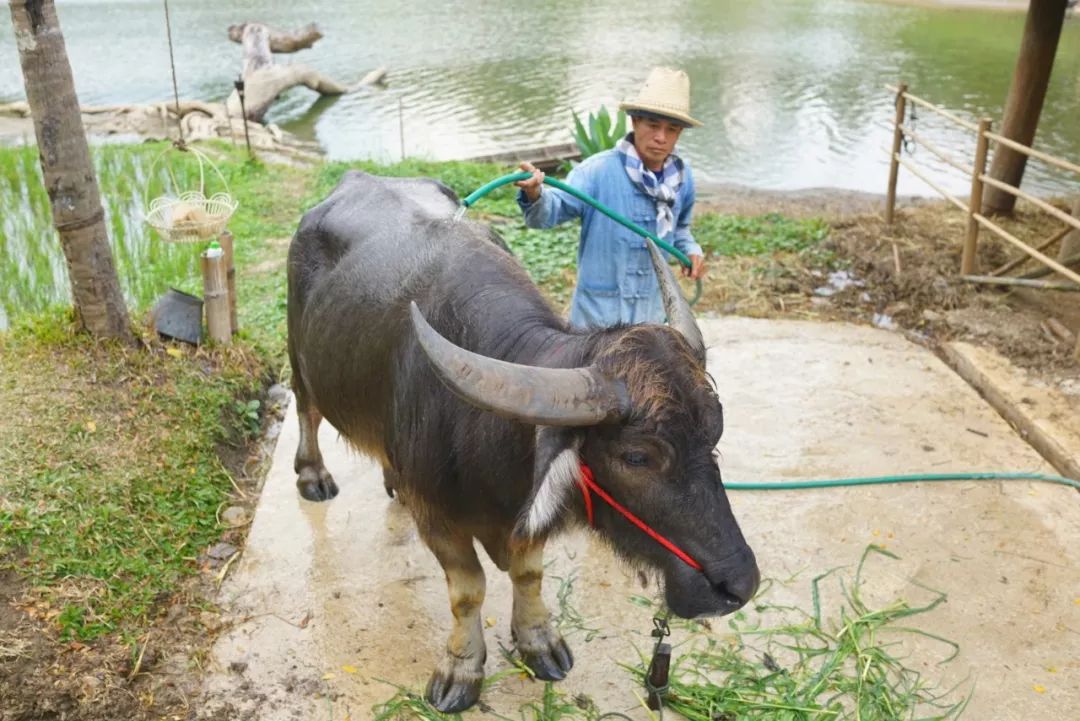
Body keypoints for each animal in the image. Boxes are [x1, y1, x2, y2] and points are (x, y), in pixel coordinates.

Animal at [287, 170, 760, 716]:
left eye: (715, 435)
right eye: (637, 456)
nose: (739, 585)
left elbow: (528, 573)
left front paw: (539, 643)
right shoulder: (438, 516)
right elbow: (467, 592)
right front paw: (461, 670)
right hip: (299, 355)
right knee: (305, 407)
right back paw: (313, 476)